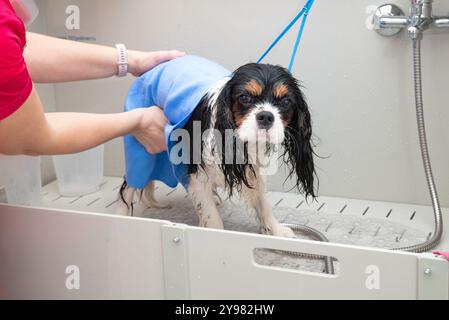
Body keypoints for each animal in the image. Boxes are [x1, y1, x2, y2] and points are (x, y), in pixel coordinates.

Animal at [116, 59, 316, 238]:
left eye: (286, 102)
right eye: (245, 97)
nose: (266, 116)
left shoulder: (253, 171)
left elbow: (262, 202)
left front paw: (276, 230)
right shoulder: (197, 175)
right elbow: (211, 218)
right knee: (128, 188)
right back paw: (120, 216)